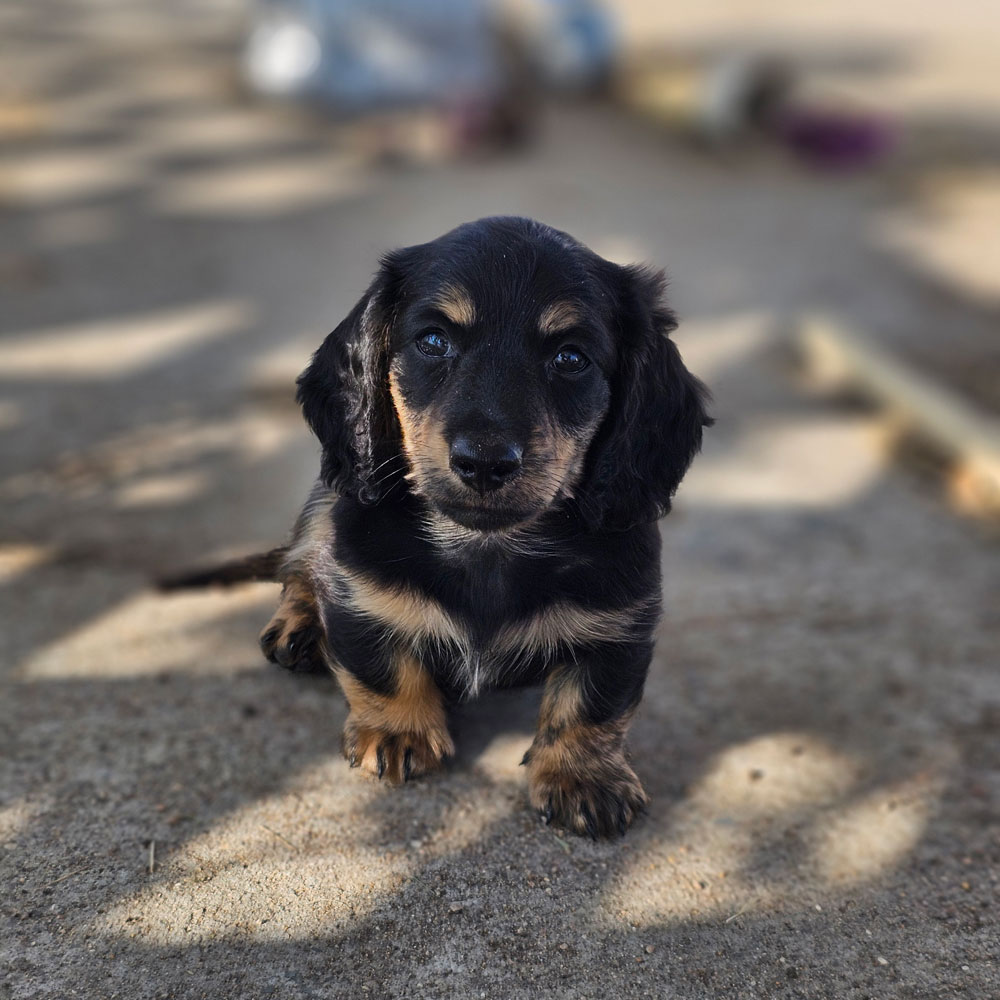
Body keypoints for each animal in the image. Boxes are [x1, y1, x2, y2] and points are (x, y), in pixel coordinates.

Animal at [258, 217, 712, 836]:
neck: (485, 548)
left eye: (571, 357)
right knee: (300, 566)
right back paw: (298, 625)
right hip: (326, 501)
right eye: (432, 341)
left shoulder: (620, 624)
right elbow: (380, 665)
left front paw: (584, 777)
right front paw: (398, 731)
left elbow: (592, 703)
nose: (484, 462)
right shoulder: (359, 594)